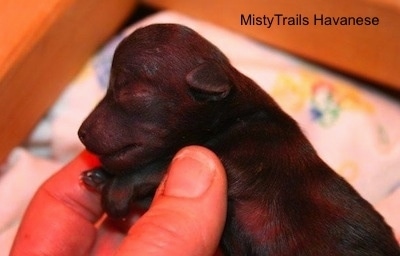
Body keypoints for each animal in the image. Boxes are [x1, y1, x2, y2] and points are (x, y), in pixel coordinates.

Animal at [79, 23, 400, 254]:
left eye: (128, 91)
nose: (81, 133)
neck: (232, 115)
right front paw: (101, 177)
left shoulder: (240, 158)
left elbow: (162, 162)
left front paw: (116, 188)